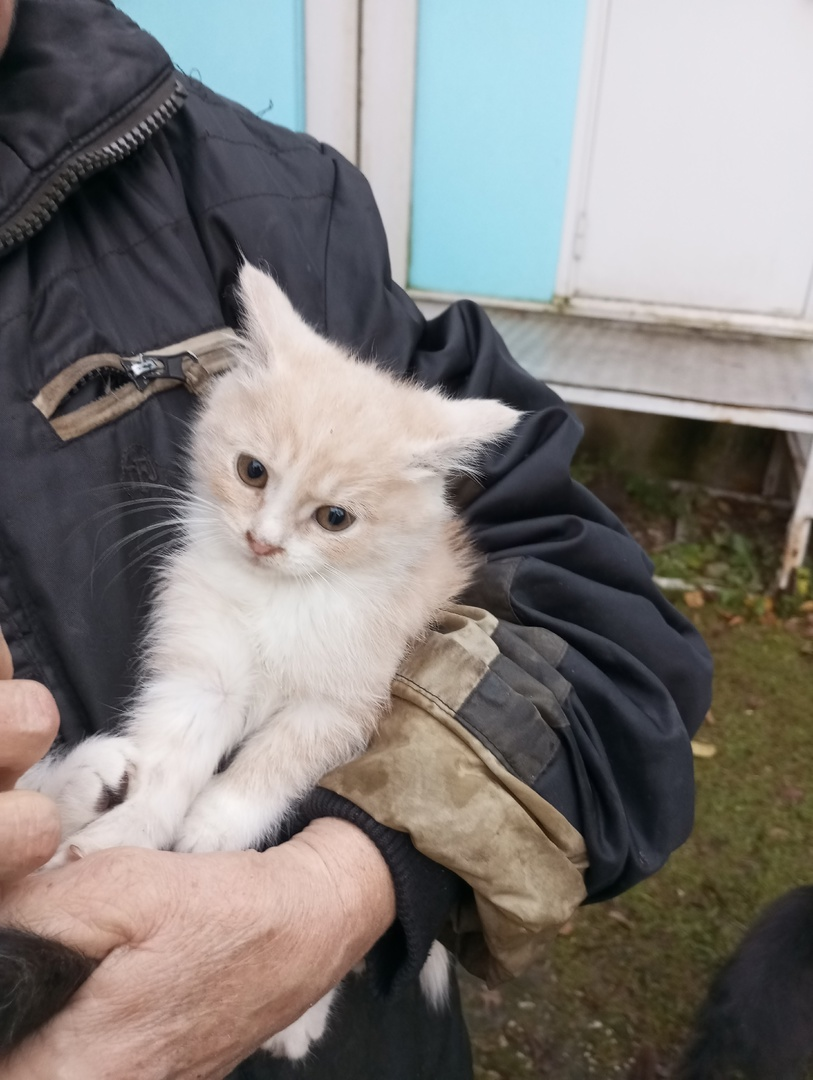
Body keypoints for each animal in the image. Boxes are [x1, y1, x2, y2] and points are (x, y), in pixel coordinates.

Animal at [23, 265, 526, 1058]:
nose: (262, 541)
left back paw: (298, 1019)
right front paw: (120, 832)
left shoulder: (344, 701)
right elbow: (167, 761)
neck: (279, 600)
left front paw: (214, 827)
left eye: (335, 518)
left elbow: (275, 762)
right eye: (251, 471)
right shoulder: (202, 675)